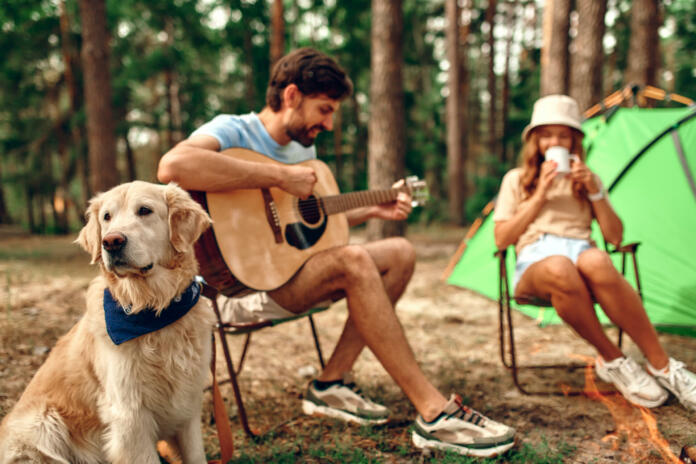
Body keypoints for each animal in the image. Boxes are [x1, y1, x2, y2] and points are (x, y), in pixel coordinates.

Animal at [0, 181, 215, 464]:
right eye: (107, 217)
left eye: (144, 210)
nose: (111, 241)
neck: (152, 310)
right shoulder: (129, 416)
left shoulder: (187, 408)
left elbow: (196, 455)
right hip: (43, 424)